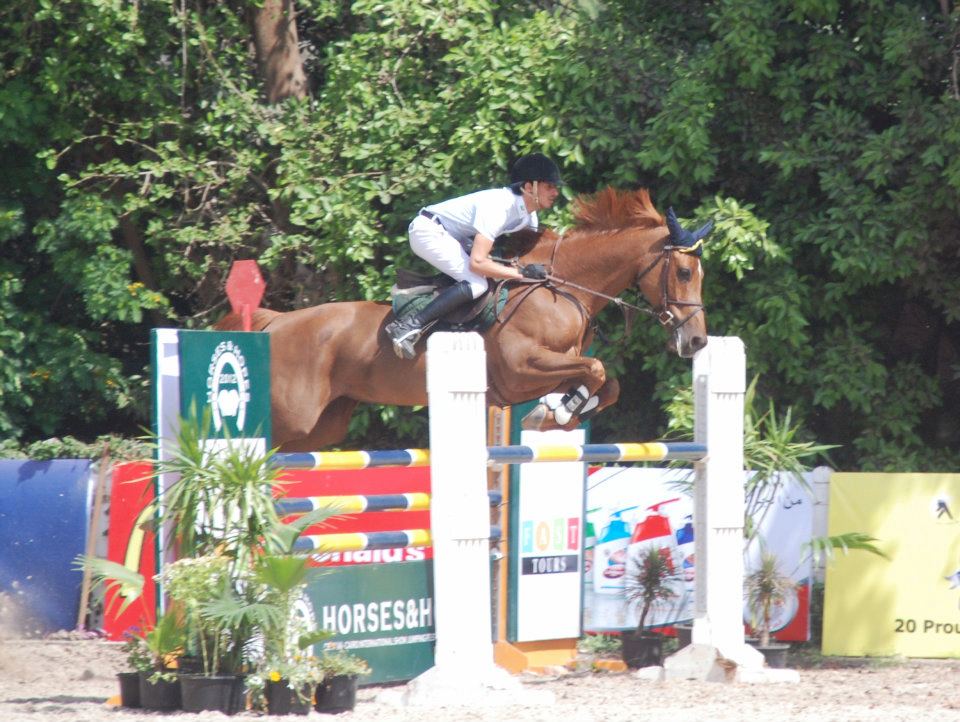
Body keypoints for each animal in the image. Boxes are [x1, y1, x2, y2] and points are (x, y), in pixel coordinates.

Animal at [215, 187, 712, 452]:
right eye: (685, 272)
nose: (697, 342)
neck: (561, 290)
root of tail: (277, 323)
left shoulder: (550, 368)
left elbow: (606, 384)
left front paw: (563, 411)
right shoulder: (522, 369)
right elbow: (597, 369)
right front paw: (553, 412)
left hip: (322, 427)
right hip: (294, 418)